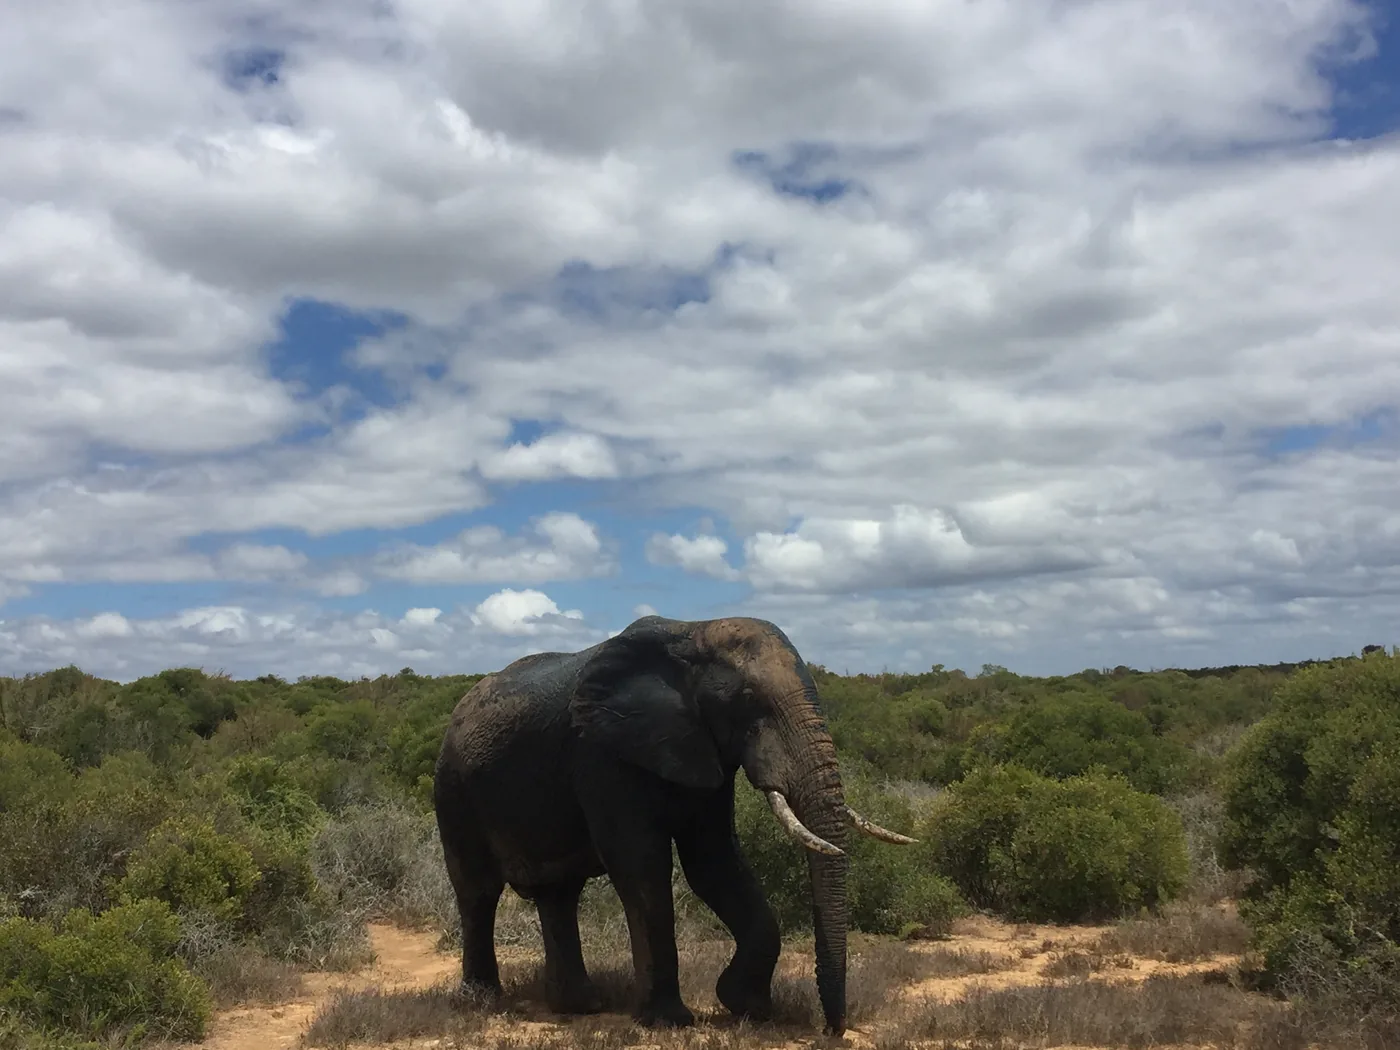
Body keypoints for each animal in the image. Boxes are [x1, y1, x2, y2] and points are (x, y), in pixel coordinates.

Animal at [432, 614, 914, 1036]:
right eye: (749, 701)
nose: (832, 1030)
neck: (694, 631)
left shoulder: (704, 749)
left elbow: (715, 863)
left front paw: (747, 1007)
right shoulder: (601, 754)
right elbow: (642, 866)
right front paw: (669, 1021)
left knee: (558, 895)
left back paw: (580, 1006)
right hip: (453, 787)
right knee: (477, 891)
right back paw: (483, 1000)